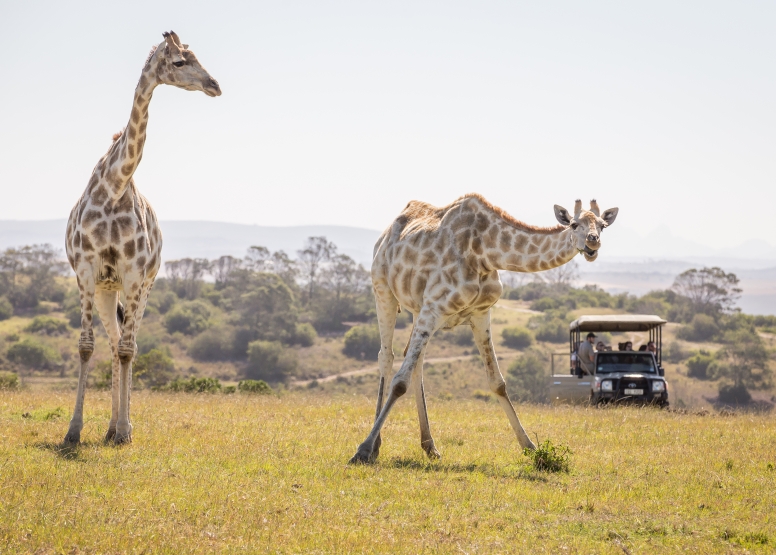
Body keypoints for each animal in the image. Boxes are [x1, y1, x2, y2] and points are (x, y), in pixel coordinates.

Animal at [63, 31, 221, 448]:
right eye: (180, 62)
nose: (215, 85)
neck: (115, 185)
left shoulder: (135, 274)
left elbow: (127, 350)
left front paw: (124, 431)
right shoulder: (85, 271)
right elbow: (87, 346)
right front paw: (73, 430)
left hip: (143, 286)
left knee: (127, 344)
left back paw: (120, 427)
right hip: (106, 289)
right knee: (114, 339)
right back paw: (107, 426)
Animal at [352, 193, 620, 462]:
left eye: (603, 226)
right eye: (574, 225)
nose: (593, 242)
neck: (485, 253)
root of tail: (385, 235)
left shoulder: (480, 314)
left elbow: (498, 382)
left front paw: (530, 446)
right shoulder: (433, 307)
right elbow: (399, 382)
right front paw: (363, 449)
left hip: (418, 308)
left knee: (414, 359)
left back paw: (430, 446)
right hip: (383, 290)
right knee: (387, 356)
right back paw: (377, 444)